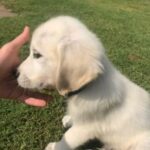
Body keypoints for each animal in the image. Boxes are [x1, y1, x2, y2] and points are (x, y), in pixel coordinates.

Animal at [17, 15, 150, 149]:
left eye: (37, 55)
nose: (15, 73)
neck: (89, 87)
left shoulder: (85, 129)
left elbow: (66, 140)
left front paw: (53, 146)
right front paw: (69, 119)